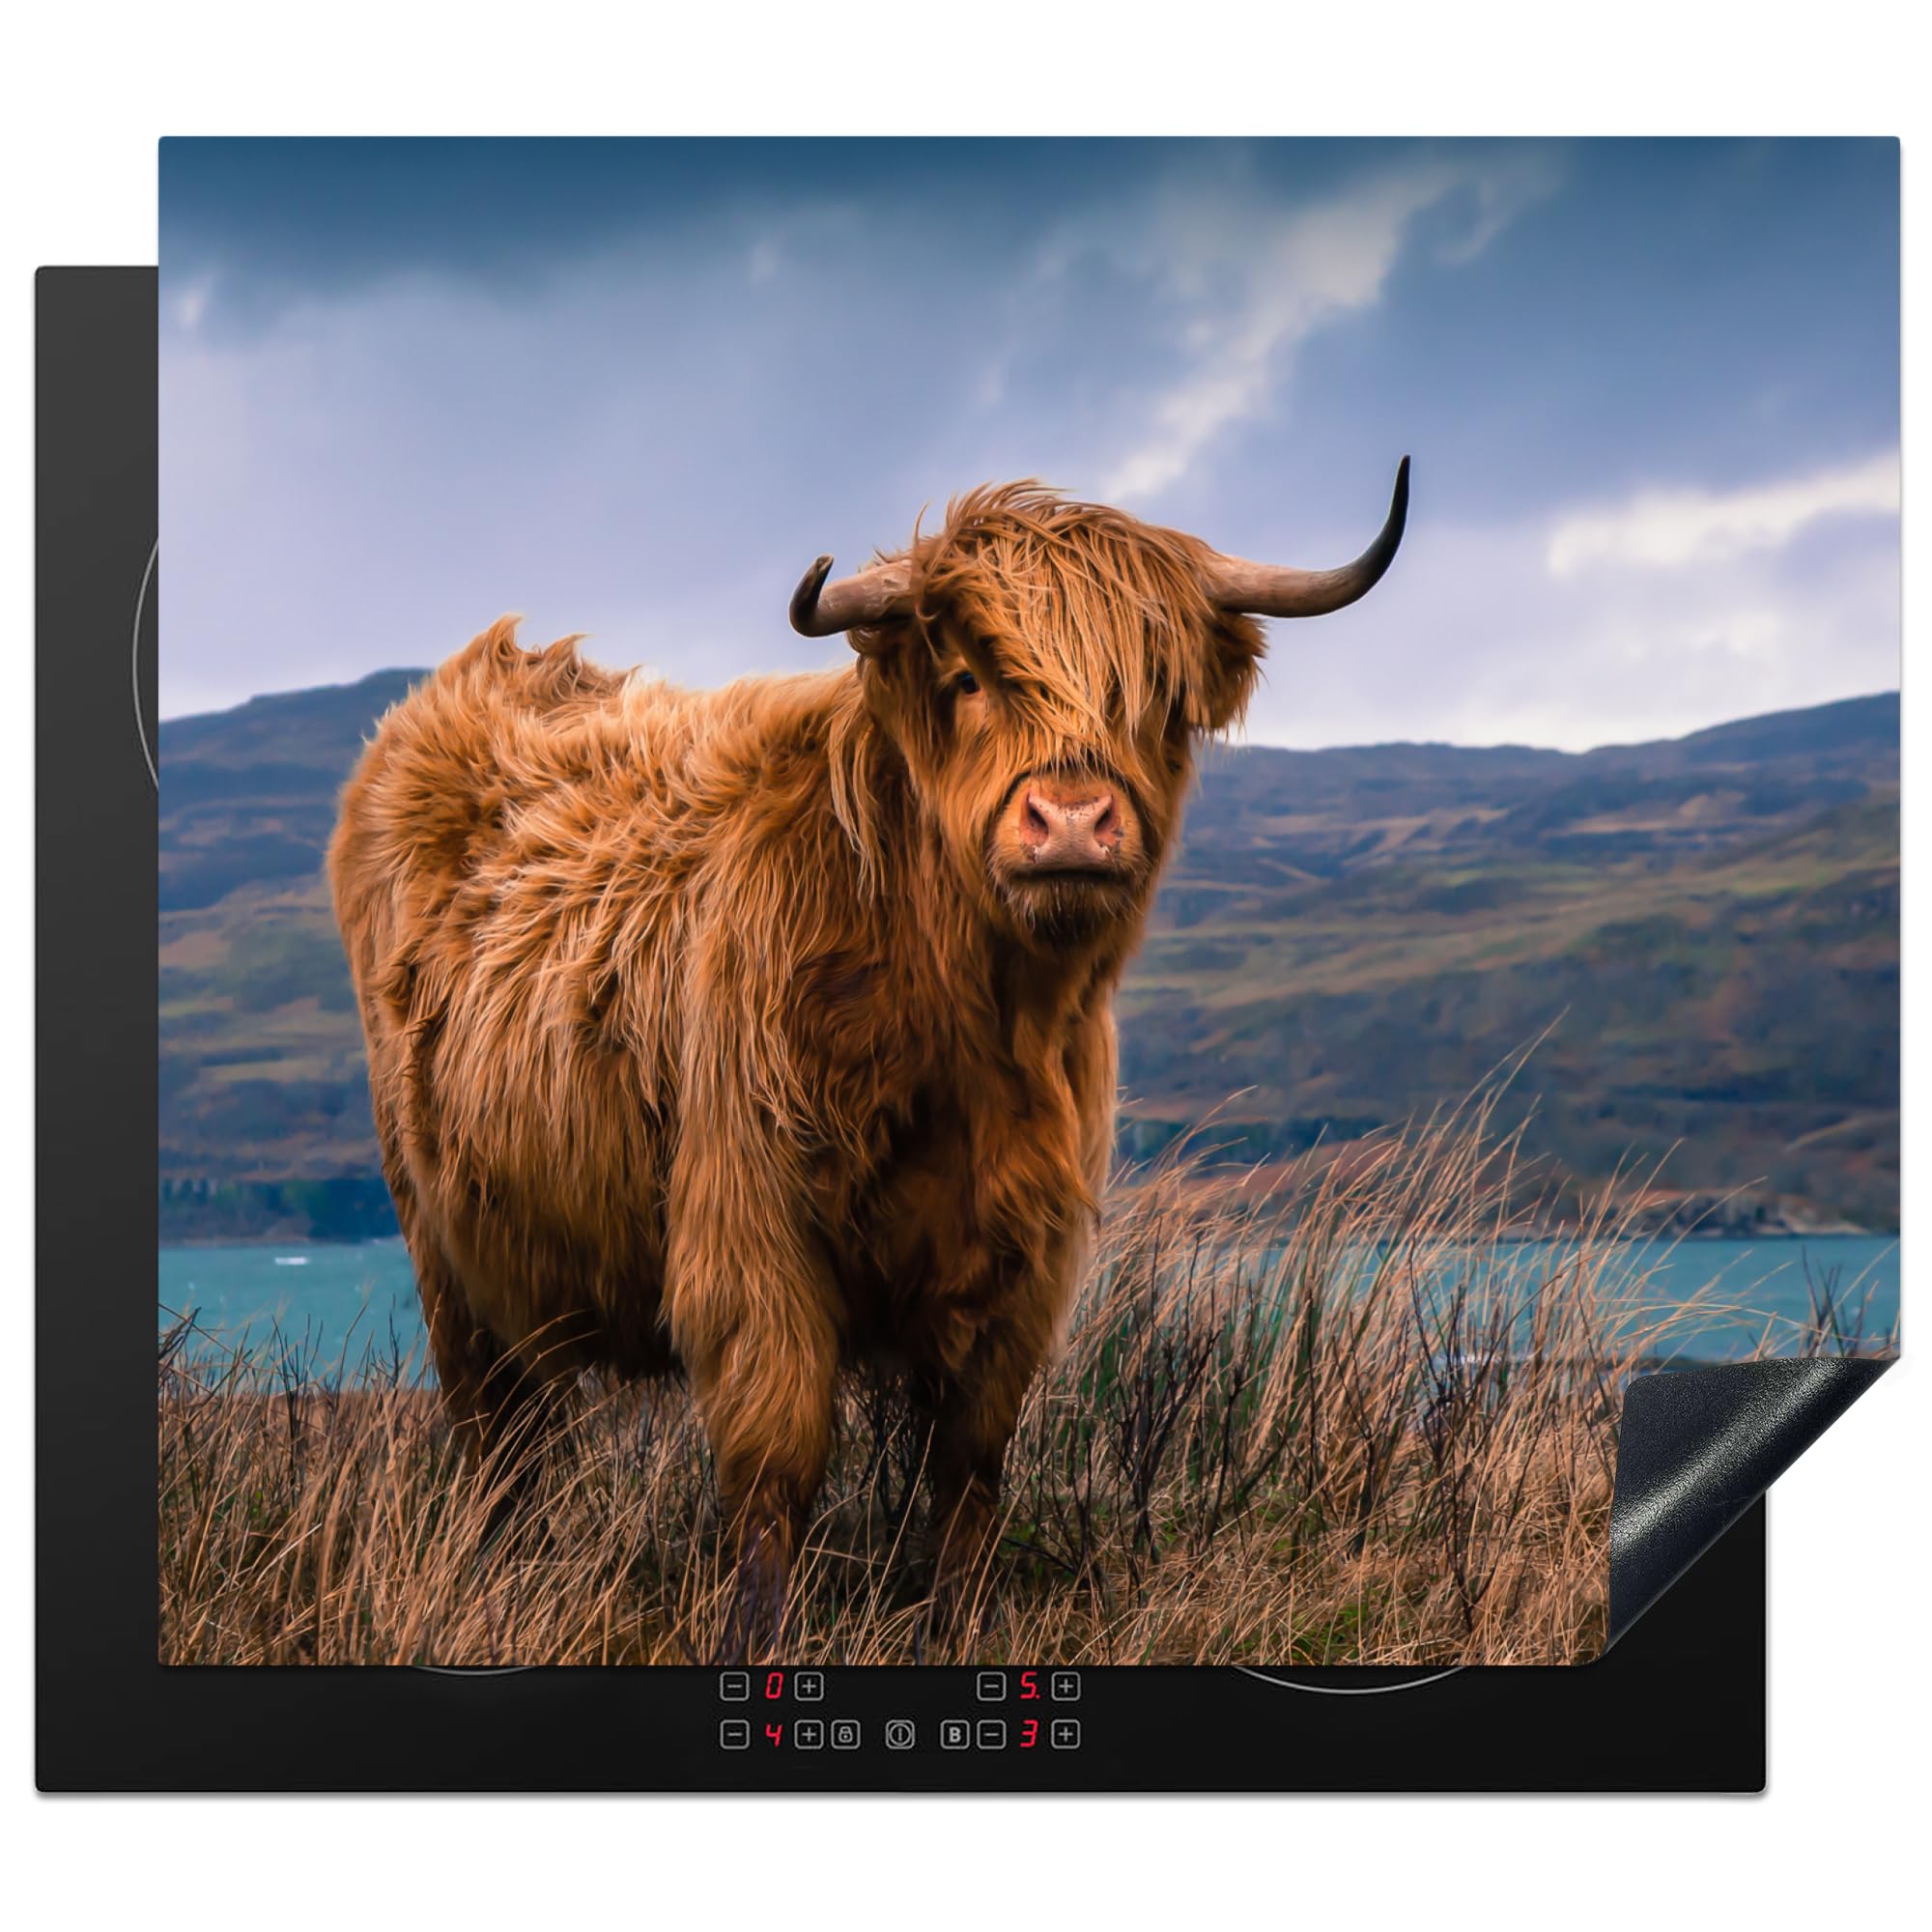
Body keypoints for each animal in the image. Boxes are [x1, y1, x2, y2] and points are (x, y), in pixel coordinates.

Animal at [328, 461, 1409, 1638]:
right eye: (969, 676)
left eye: (1155, 695)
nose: (1073, 822)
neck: (968, 1028)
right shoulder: (752, 1232)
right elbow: (775, 1461)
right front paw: (757, 1630)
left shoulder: (1022, 1261)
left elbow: (971, 1463)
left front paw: (960, 1618)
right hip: (441, 1244)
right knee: (493, 1434)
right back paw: (497, 1573)